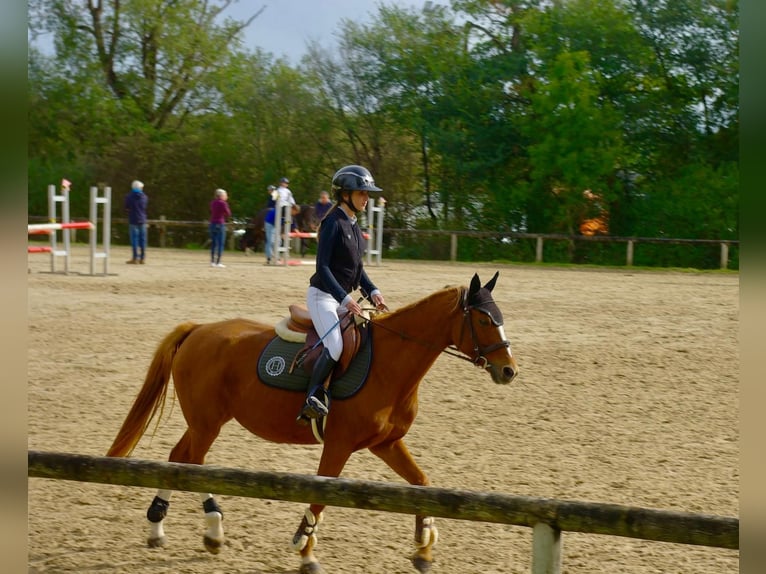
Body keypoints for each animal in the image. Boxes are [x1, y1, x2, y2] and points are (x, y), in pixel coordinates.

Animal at [105, 272, 520, 572]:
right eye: (484, 319)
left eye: (500, 317)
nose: (509, 371)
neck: (390, 363)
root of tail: (198, 329)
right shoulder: (339, 445)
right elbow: (320, 499)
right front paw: (306, 552)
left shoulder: (385, 444)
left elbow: (421, 483)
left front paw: (424, 547)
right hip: (207, 422)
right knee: (190, 461)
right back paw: (208, 527)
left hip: (205, 422)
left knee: (181, 459)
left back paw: (175, 529)